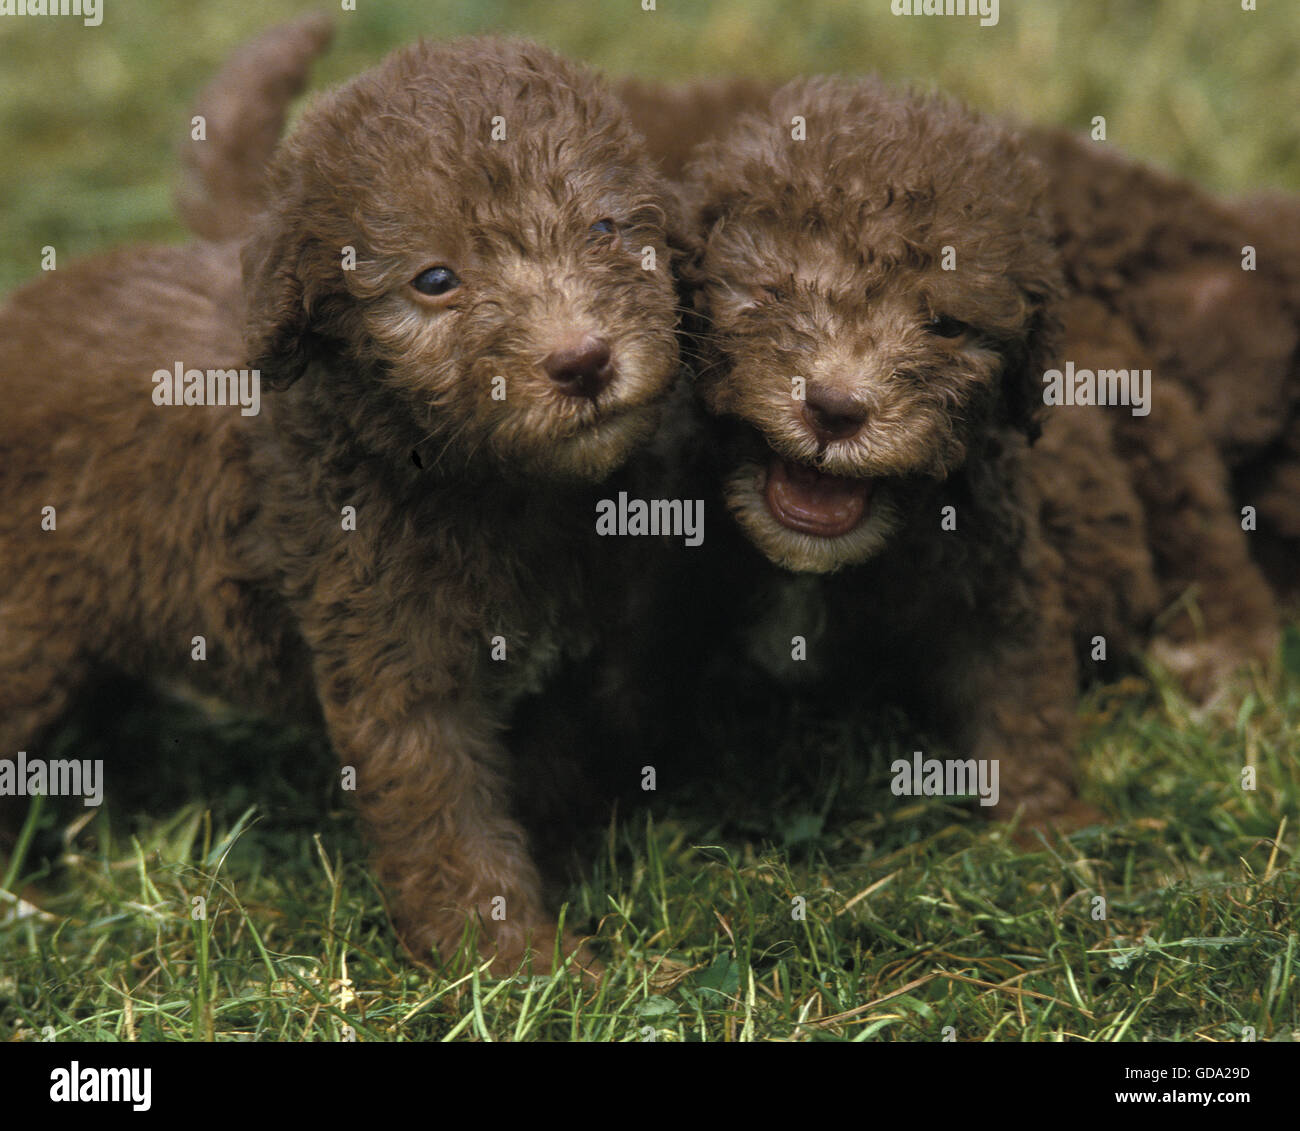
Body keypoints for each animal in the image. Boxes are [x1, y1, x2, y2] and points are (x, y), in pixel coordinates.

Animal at [0, 35, 686, 972]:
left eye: (606, 229)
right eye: (435, 279)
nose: (582, 360)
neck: (482, 483)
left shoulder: (585, 639)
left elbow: (560, 754)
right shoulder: (393, 658)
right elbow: (446, 823)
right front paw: (511, 961)